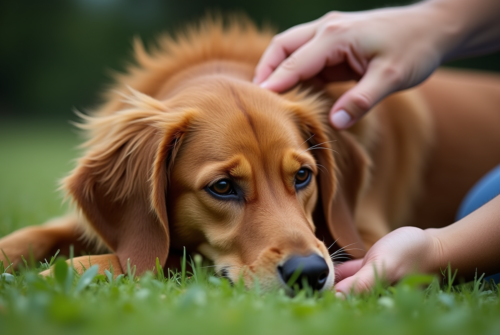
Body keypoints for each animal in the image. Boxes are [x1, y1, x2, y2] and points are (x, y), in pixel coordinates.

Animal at [0, 17, 500, 292]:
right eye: (223, 187)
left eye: (303, 176)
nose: (309, 274)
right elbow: (37, 234)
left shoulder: (364, 232)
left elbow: (167, 259)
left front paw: (66, 273)